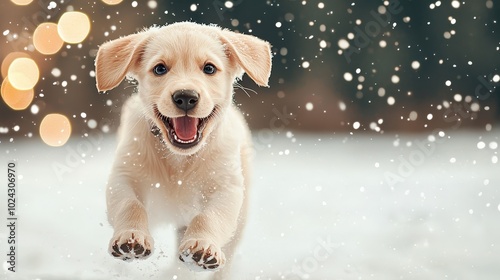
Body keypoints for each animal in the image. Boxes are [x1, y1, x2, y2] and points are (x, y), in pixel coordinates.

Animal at [94, 21, 274, 278]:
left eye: (209, 68)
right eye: (160, 69)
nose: (186, 97)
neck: (179, 159)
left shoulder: (226, 188)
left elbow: (209, 217)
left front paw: (202, 247)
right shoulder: (124, 176)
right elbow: (130, 205)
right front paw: (131, 237)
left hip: (239, 221)